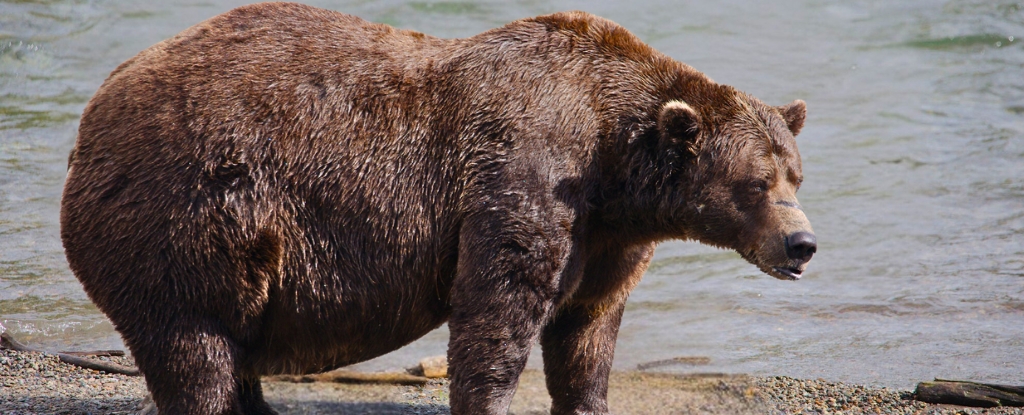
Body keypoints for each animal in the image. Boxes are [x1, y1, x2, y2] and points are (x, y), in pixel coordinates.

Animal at [60, 3, 816, 414]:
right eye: (756, 182)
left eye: (796, 176)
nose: (802, 244)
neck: (613, 162)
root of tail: (91, 117)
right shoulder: (527, 173)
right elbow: (499, 307)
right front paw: (490, 394)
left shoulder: (608, 236)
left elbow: (588, 326)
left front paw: (587, 396)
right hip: (190, 209)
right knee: (196, 343)